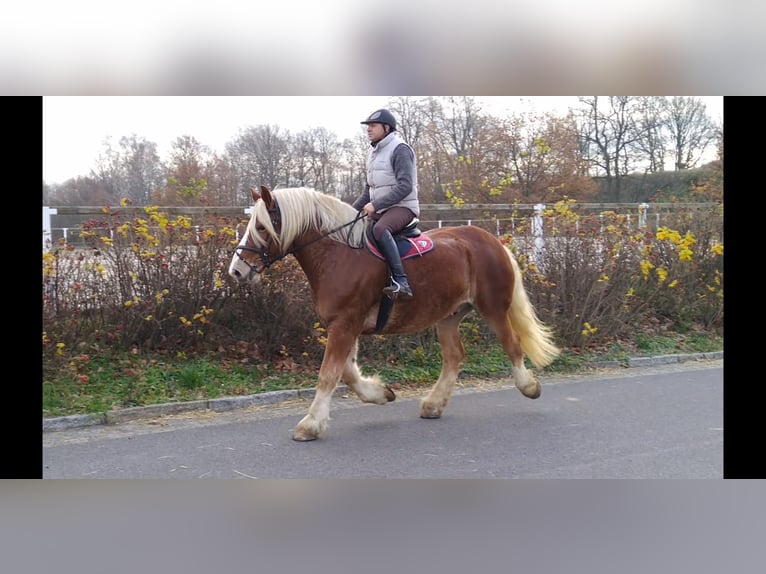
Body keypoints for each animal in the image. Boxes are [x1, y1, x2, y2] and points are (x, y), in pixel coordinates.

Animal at [228, 187, 560, 444]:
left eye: (261, 227)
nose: (237, 270)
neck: (340, 255)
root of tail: (492, 241)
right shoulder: (345, 326)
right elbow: (347, 373)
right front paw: (380, 393)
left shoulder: (345, 325)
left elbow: (329, 375)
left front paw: (309, 425)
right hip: (449, 316)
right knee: (454, 356)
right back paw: (433, 405)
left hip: (493, 308)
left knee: (512, 345)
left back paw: (529, 387)